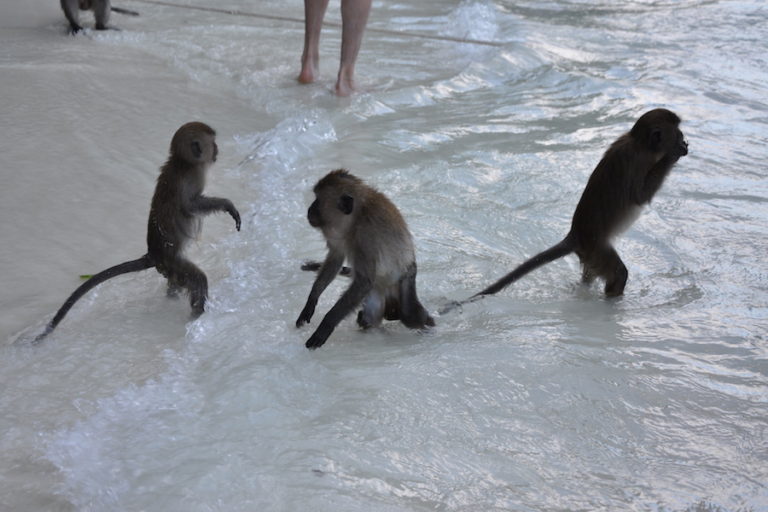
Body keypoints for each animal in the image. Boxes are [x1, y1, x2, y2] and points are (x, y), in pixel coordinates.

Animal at [33, 122, 240, 342]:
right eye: (213, 143)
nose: (217, 150)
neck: (180, 162)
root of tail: (153, 254)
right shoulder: (193, 177)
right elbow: (191, 206)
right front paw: (227, 205)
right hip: (173, 262)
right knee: (198, 280)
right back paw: (197, 314)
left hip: (170, 268)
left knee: (176, 283)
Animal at [296, 170, 436, 350]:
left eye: (318, 200)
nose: (310, 209)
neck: (355, 218)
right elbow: (336, 258)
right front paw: (311, 300)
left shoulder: (366, 238)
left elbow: (363, 281)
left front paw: (326, 325)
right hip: (377, 291)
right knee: (369, 316)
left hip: (407, 277)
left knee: (410, 315)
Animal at [444, 107, 688, 312]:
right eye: (678, 134)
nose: (685, 141)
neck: (639, 144)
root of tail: (575, 234)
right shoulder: (635, 161)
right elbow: (640, 196)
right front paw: (671, 156)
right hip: (596, 248)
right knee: (618, 274)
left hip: (591, 254)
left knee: (591, 274)